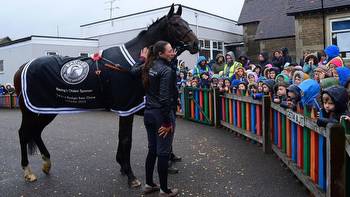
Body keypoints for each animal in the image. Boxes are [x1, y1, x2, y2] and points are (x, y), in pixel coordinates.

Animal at [12, 3, 198, 187]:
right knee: (23, 133)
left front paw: (124, 165)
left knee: (36, 132)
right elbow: (126, 140)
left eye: (187, 23)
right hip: (31, 111)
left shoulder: (133, 107)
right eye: (176, 24)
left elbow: (127, 137)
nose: (196, 44)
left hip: (47, 109)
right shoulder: (127, 108)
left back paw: (46, 164)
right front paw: (131, 175)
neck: (131, 63)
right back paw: (28, 172)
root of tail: (22, 67)